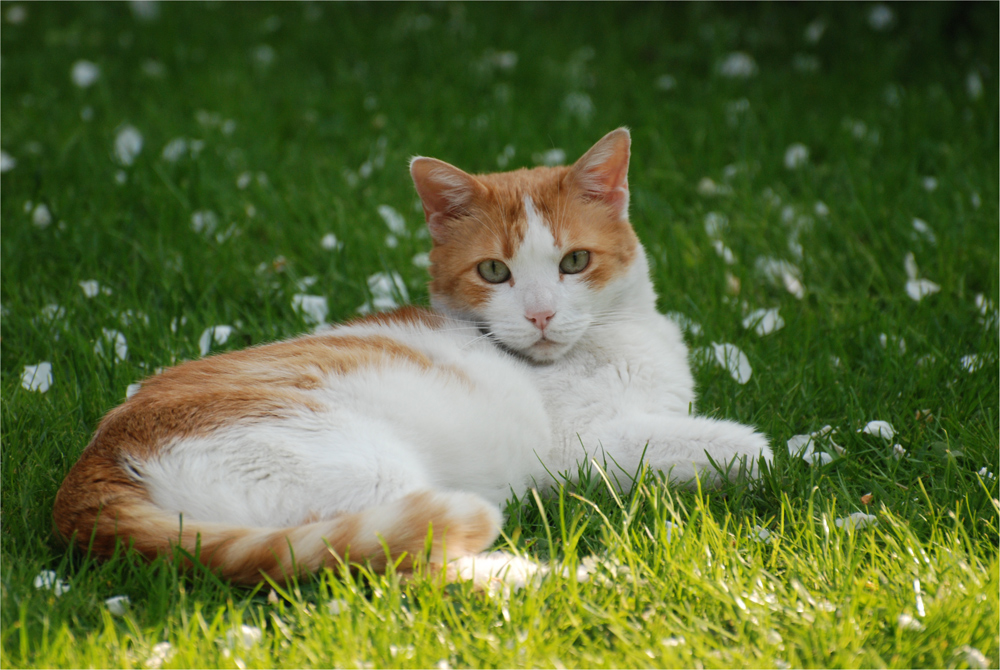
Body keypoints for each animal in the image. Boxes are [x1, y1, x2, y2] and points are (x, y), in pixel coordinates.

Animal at [52, 129, 772, 584]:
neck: (617, 340)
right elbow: (723, 446)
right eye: (494, 271)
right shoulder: (578, 450)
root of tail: (92, 465)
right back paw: (572, 577)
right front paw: (756, 452)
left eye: (574, 261)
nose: (540, 314)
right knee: (400, 569)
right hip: (370, 474)